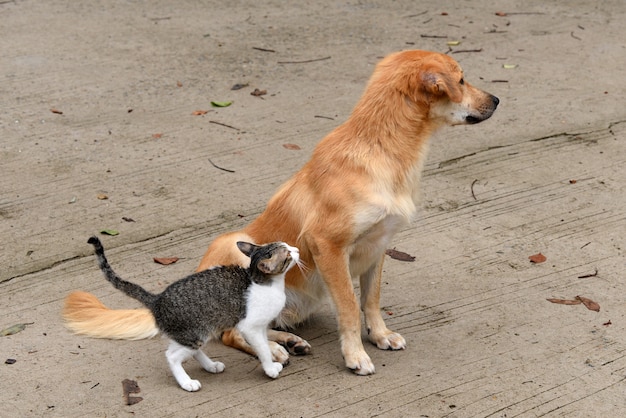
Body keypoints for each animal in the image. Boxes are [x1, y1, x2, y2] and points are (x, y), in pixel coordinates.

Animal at [64, 49, 498, 376]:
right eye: (462, 80)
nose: (497, 100)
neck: (383, 147)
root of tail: (165, 299)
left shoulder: (378, 246)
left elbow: (371, 300)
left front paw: (380, 335)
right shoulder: (328, 246)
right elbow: (348, 308)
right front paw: (355, 355)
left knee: (253, 327)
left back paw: (286, 342)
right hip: (233, 243)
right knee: (230, 333)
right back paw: (273, 352)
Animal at [86, 238, 300, 392]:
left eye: (288, 246)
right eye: (288, 253)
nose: (297, 249)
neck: (263, 282)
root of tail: (157, 299)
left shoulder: (261, 326)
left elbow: (265, 344)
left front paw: (272, 361)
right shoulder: (250, 327)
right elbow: (262, 348)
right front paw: (270, 368)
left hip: (196, 333)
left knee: (187, 350)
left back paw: (210, 366)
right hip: (193, 333)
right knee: (172, 356)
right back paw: (186, 382)